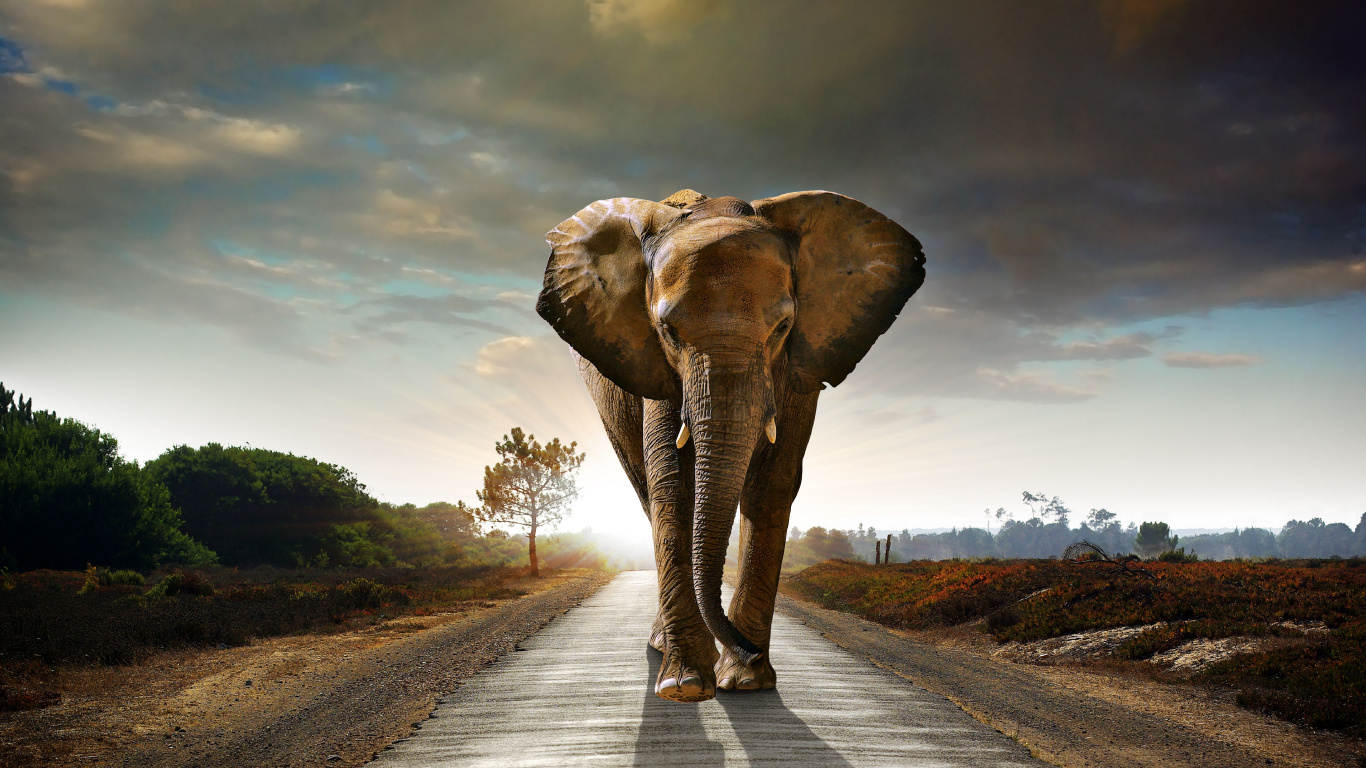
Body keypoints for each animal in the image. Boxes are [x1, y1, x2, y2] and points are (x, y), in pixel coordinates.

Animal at [536, 188, 925, 702]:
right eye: (668, 331)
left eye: (782, 327)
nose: (748, 649)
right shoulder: (657, 368)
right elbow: (672, 483)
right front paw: (685, 686)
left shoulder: (798, 367)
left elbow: (773, 482)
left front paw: (745, 681)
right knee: (645, 490)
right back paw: (664, 648)